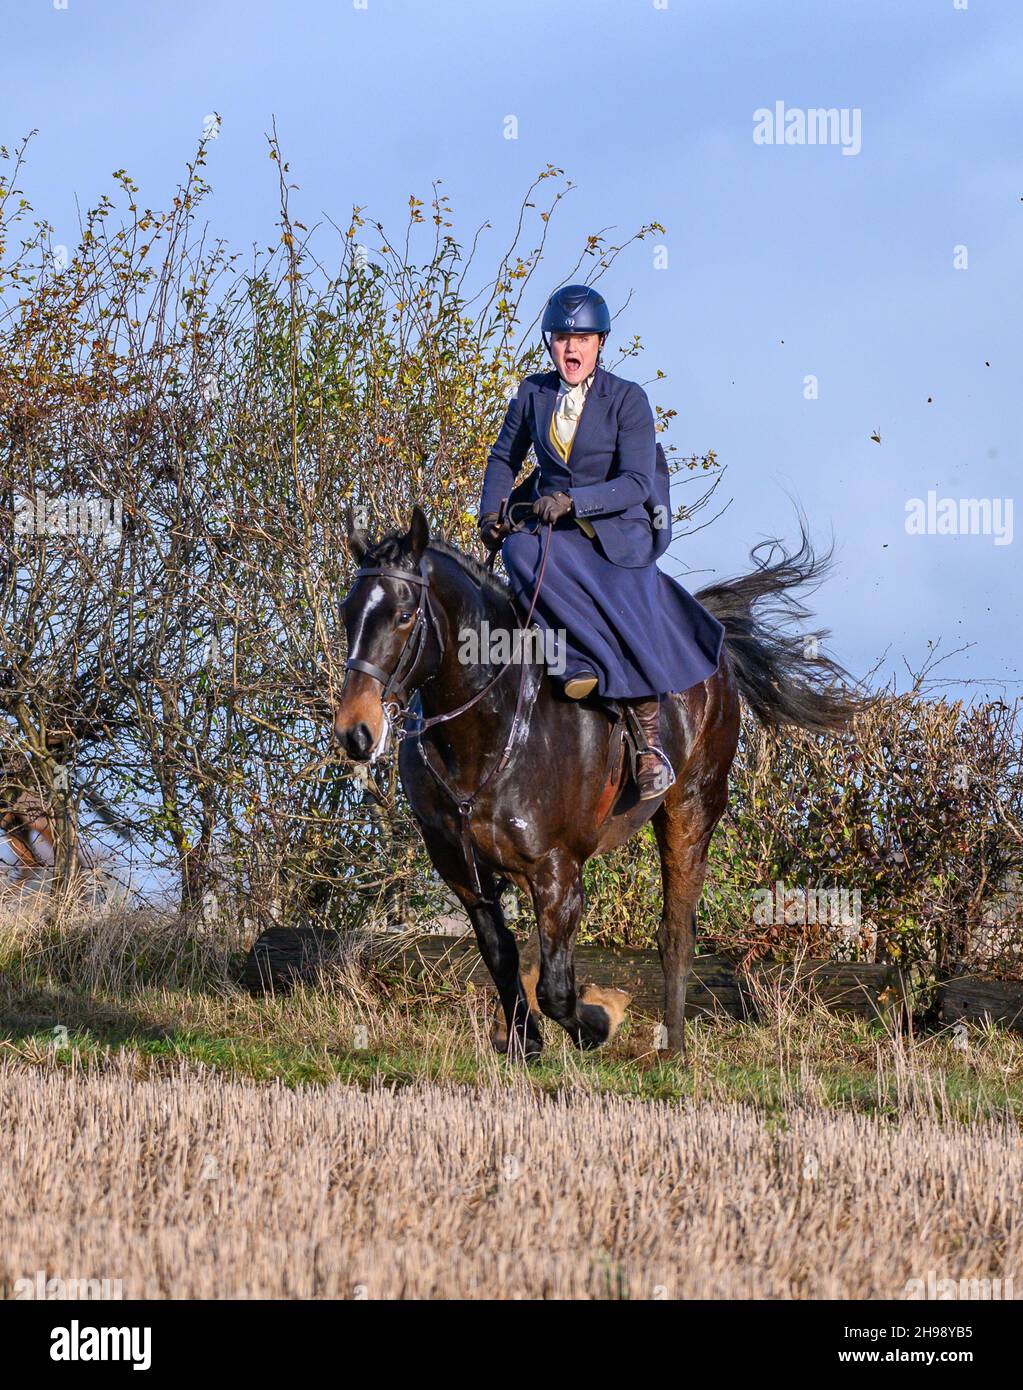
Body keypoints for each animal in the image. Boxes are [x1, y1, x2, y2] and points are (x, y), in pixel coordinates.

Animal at [333, 505, 856, 1056]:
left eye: (404, 615)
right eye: (348, 613)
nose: (355, 731)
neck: (485, 728)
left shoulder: (556, 872)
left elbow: (557, 989)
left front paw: (600, 1019)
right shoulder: (461, 869)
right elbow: (501, 958)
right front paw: (525, 1042)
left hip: (691, 810)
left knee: (676, 932)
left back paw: (673, 1045)